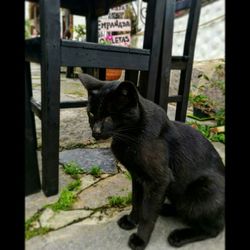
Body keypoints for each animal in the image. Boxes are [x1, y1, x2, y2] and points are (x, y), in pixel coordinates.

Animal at [79, 73, 225, 249]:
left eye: (109, 116)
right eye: (91, 114)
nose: (95, 132)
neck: (129, 138)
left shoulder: (158, 181)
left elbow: (148, 214)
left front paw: (140, 239)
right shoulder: (137, 178)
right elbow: (137, 202)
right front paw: (131, 221)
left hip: (205, 187)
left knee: (214, 229)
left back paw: (179, 236)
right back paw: (166, 209)